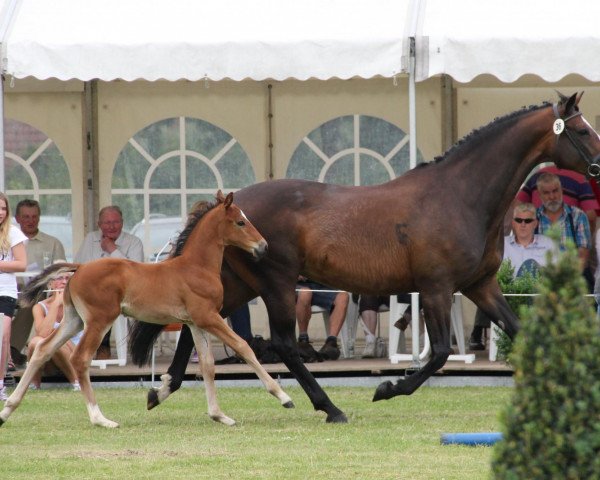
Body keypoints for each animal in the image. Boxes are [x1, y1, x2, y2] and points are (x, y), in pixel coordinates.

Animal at [0, 191, 292, 428]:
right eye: (241, 222)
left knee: (43, 349)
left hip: (74, 320)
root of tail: (79, 267)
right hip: (99, 320)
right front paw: (283, 396)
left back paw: (7, 410)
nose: (263, 246)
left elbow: (208, 365)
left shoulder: (195, 322)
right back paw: (100, 418)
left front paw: (219, 415)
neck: (196, 267)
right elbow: (244, 347)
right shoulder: (209, 317)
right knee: (79, 359)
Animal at [130, 92, 600, 422]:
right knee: (282, 343)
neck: (459, 196)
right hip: (276, 283)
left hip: (239, 283)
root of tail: (231, 205)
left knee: (195, 325)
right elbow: (440, 353)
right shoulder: (436, 288)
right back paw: (329, 408)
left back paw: (161, 390)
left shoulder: (479, 286)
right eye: (581, 130)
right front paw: (387, 388)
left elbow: (520, 332)